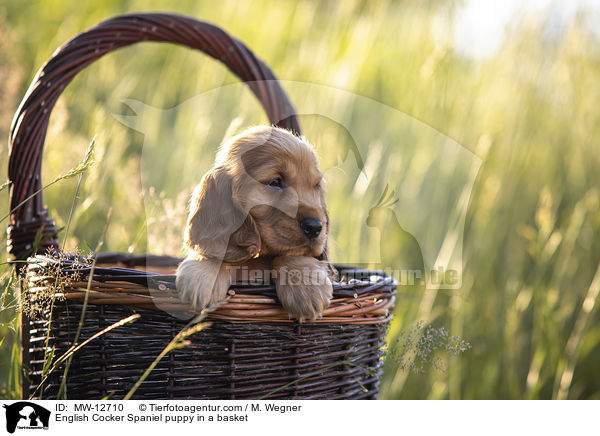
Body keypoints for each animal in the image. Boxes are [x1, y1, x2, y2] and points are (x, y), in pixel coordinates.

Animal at [176, 126, 332, 320]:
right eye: (275, 182)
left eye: (316, 186)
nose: (315, 227)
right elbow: (217, 251)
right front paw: (202, 275)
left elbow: (292, 252)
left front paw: (307, 285)